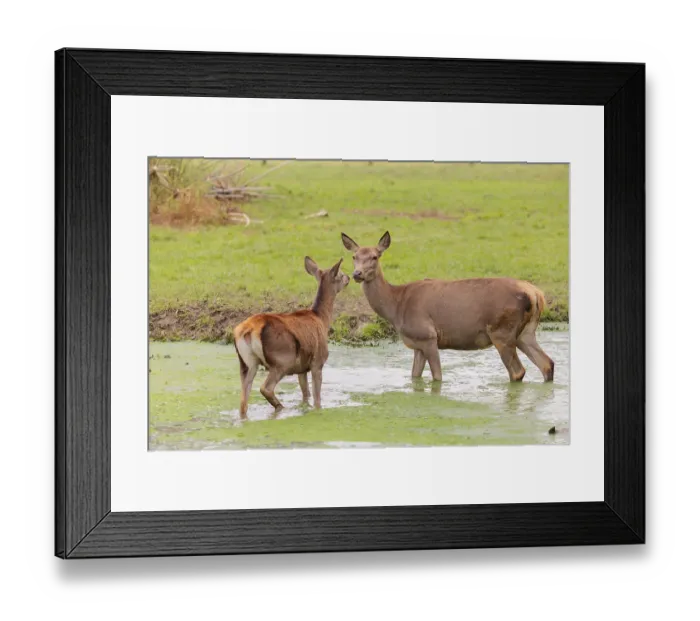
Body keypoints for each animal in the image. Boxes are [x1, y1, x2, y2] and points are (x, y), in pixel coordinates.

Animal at [232, 257, 349, 419]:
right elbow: (317, 397)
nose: (349, 277)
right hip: (282, 360)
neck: (322, 319)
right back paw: (281, 408)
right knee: (265, 388)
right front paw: (317, 409)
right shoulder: (317, 362)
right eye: (341, 274)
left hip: (246, 363)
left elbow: (306, 394)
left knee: (243, 401)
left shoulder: (302, 368)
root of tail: (250, 329)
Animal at [341, 231, 554, 384]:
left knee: (518, 371)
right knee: (547, 363)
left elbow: (437, 377)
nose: (357, 274)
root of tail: (536, 294)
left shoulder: (428, 336)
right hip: (525, 332)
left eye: (375, 257)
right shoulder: (417, 341)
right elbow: (414, 376)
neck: (396, 306)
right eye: (354, 256)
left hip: (502, 331)